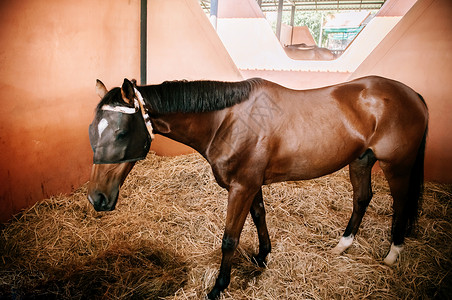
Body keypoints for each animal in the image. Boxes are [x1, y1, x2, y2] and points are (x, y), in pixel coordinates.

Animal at [87, 76, 428, 298]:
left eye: (121, 133)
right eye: (92, 130)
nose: (96, 198)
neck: (227, 120)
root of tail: (413, 94)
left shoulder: (241, 187)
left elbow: (230, 239)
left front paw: (218, 287)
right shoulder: (251, 185)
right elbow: (260, 216)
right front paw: (263, 256)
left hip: (396, 165)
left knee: (399, 202)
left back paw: (393, 254)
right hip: (360, 160)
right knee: (362, 198)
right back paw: (342, 245)